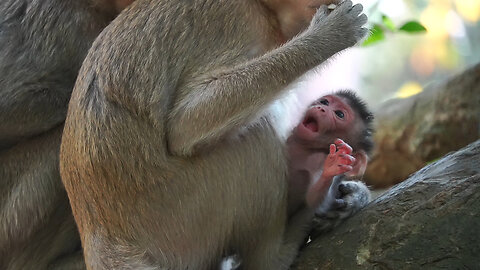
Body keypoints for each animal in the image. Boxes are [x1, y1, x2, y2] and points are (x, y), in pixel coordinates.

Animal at [59, 1, 368, 268]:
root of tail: (102, 236)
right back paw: (275, 255)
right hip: (179, 215)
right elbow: (184, 126)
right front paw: (328, 35)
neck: (266, 8)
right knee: (255, 136)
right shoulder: (237, 18)